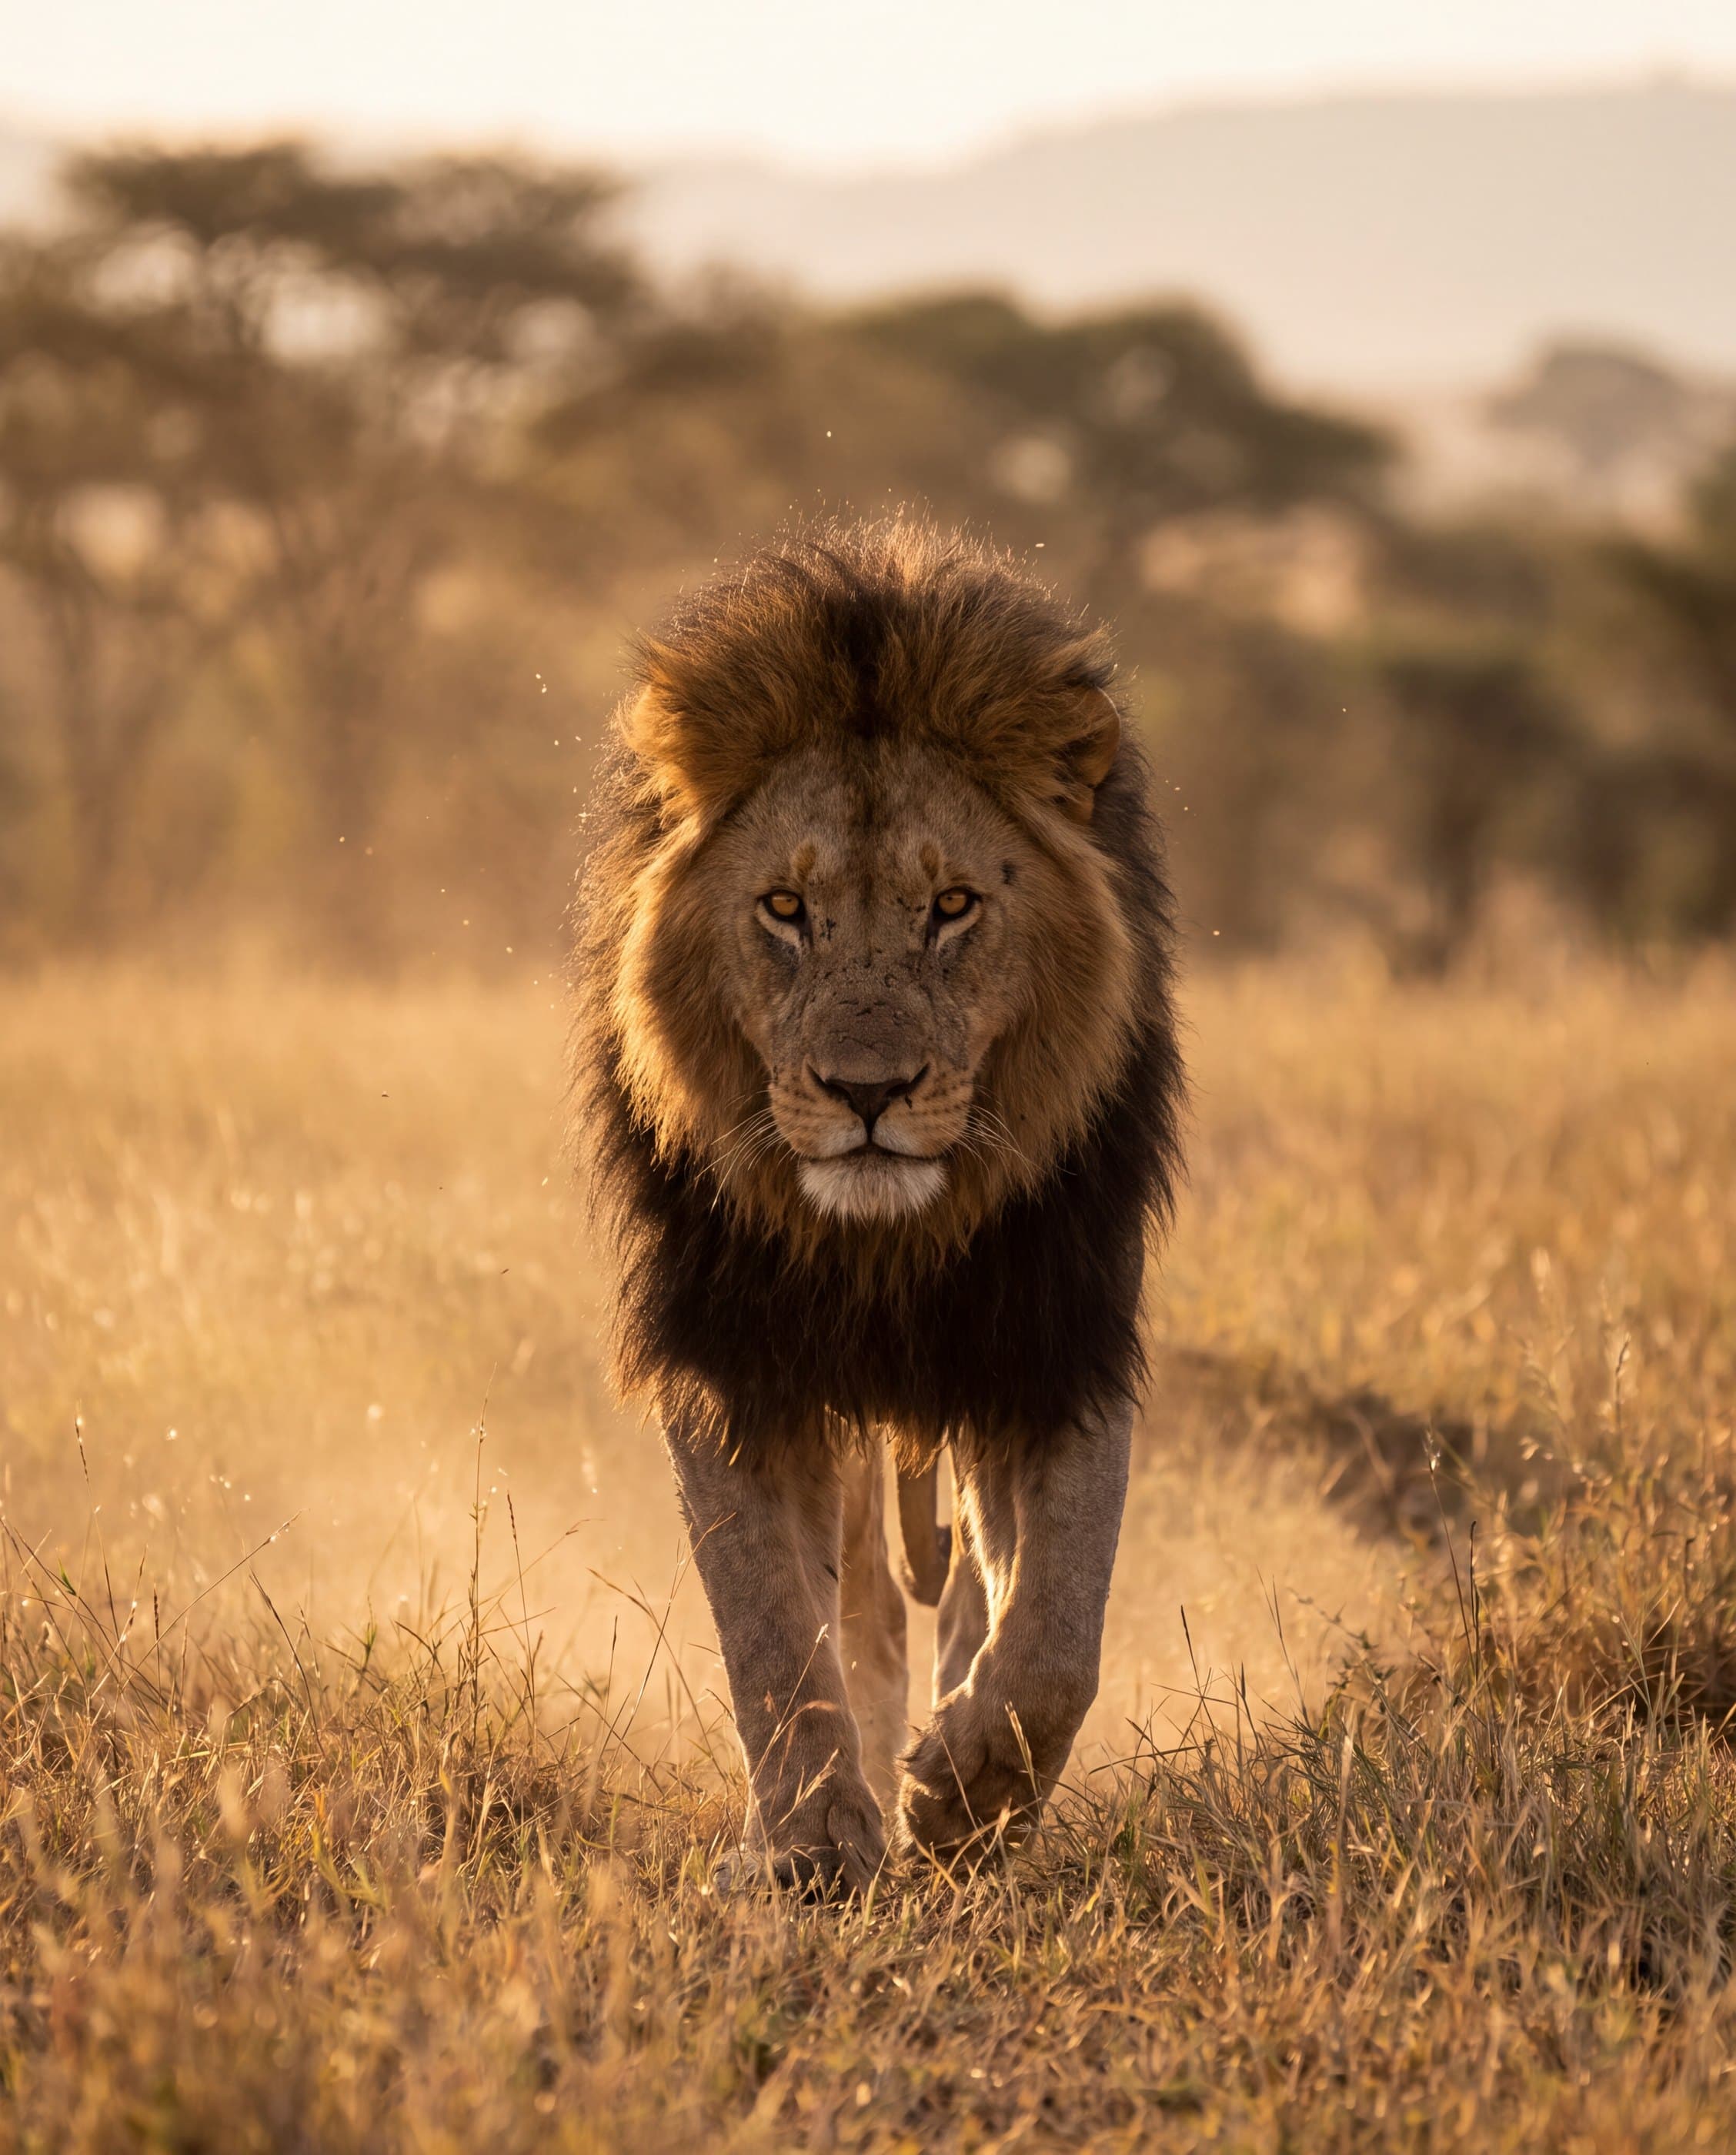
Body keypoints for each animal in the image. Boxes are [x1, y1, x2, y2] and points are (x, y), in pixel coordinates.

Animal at [572, 521, 1183, 1886]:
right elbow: (766, 1626)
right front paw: (808, 1839)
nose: (866, 1092)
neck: (884, 1243)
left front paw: (969, 1794)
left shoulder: (1056, 1336)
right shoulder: (733, 1357)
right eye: (785, 910)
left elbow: (1057, 1626)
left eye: (952, 906)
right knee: (854, 1611)